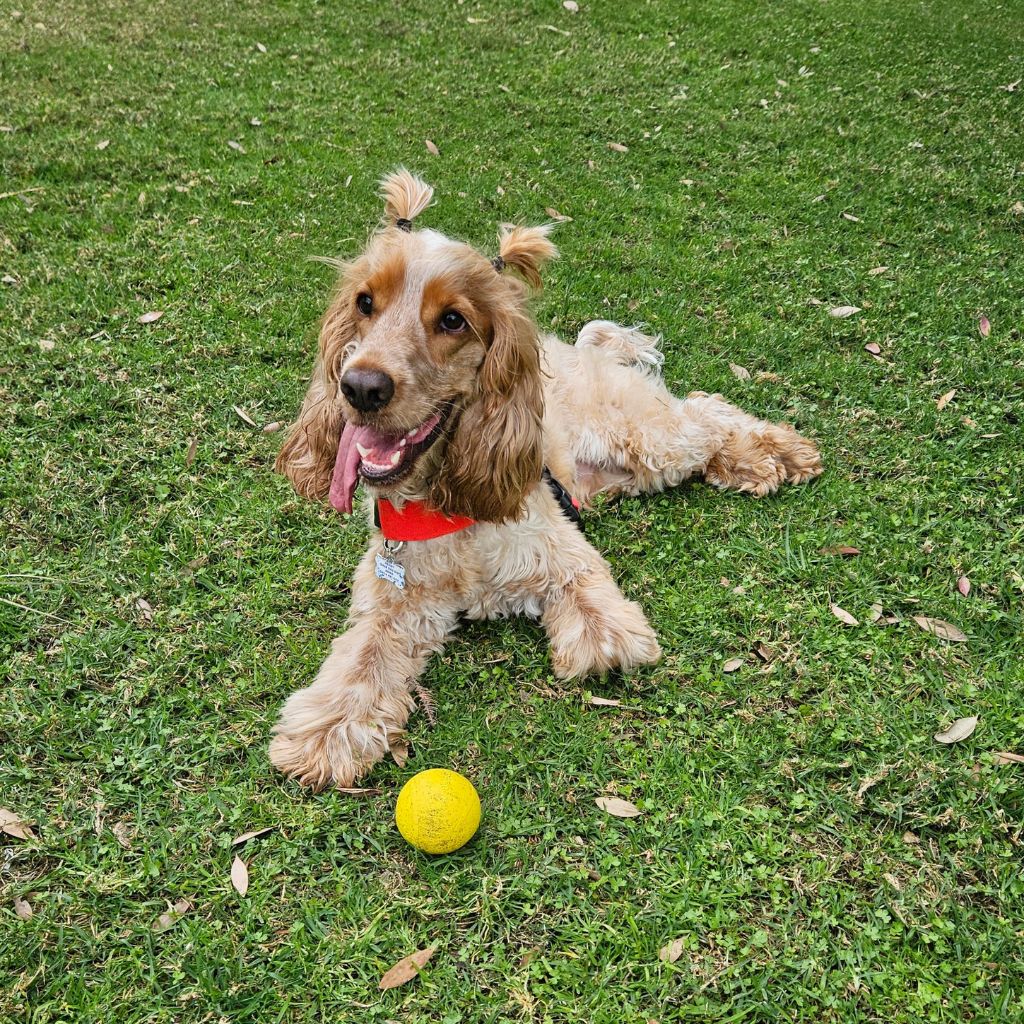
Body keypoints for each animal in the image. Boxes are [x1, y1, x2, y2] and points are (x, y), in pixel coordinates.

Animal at [266, 172, 823, 786]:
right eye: (364, 303)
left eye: (453, 320)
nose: (360, 386)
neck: (449, 499)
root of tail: (574, 349)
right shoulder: (394, 601)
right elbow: (361, 658)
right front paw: (326, 731)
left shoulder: (559, 552)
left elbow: (599, 621)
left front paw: (601, 640)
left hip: (649, 438)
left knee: (707, 410)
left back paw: (778, 454)